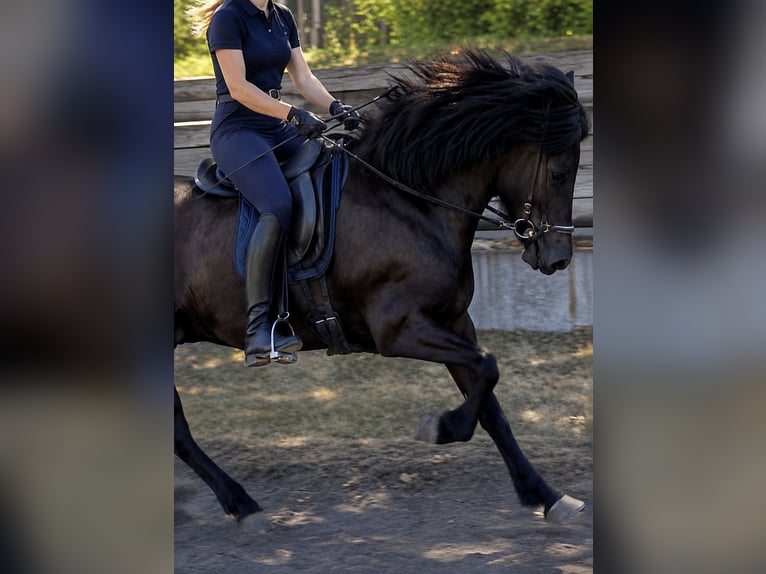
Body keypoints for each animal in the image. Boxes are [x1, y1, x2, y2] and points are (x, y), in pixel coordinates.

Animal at [174, 50, 590, 525]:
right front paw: (441, 428)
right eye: (558, 174)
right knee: (178, 429)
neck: (410, 201)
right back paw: (240, 502)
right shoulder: (398, 330)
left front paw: (545, 494)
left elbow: (491, 403)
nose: (558, 258)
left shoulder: (453, 321)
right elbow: (488, 367)